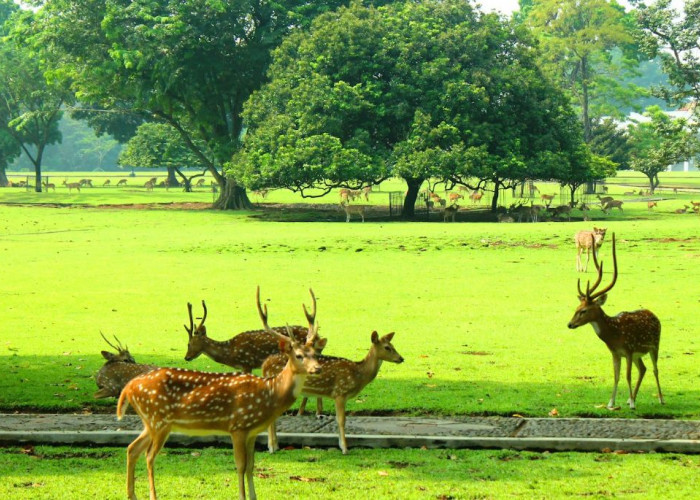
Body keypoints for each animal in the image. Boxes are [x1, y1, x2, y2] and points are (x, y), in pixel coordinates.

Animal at [262, 330, 404, 456]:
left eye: (393, 345)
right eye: (387, 347)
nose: (401, 358)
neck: (358, 374)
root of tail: (265, 364)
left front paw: (342, 446)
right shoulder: (340, 392)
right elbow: (341, 420)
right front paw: (345, 449)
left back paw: (276, 446)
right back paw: (272, 448)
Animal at [568, 234, 660, 410]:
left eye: (584, 310)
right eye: (576, 307)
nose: (569, 324)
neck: (614, 335)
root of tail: (654, 314)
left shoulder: (629, 350)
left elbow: (628, 376)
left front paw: (632, 405)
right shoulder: (615, 353)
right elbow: (616, 376)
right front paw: (611, 403)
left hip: (654, 345)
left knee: (654, 369)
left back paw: (660, 399)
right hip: (639, 354)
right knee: (643, 369)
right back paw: (631, 399)